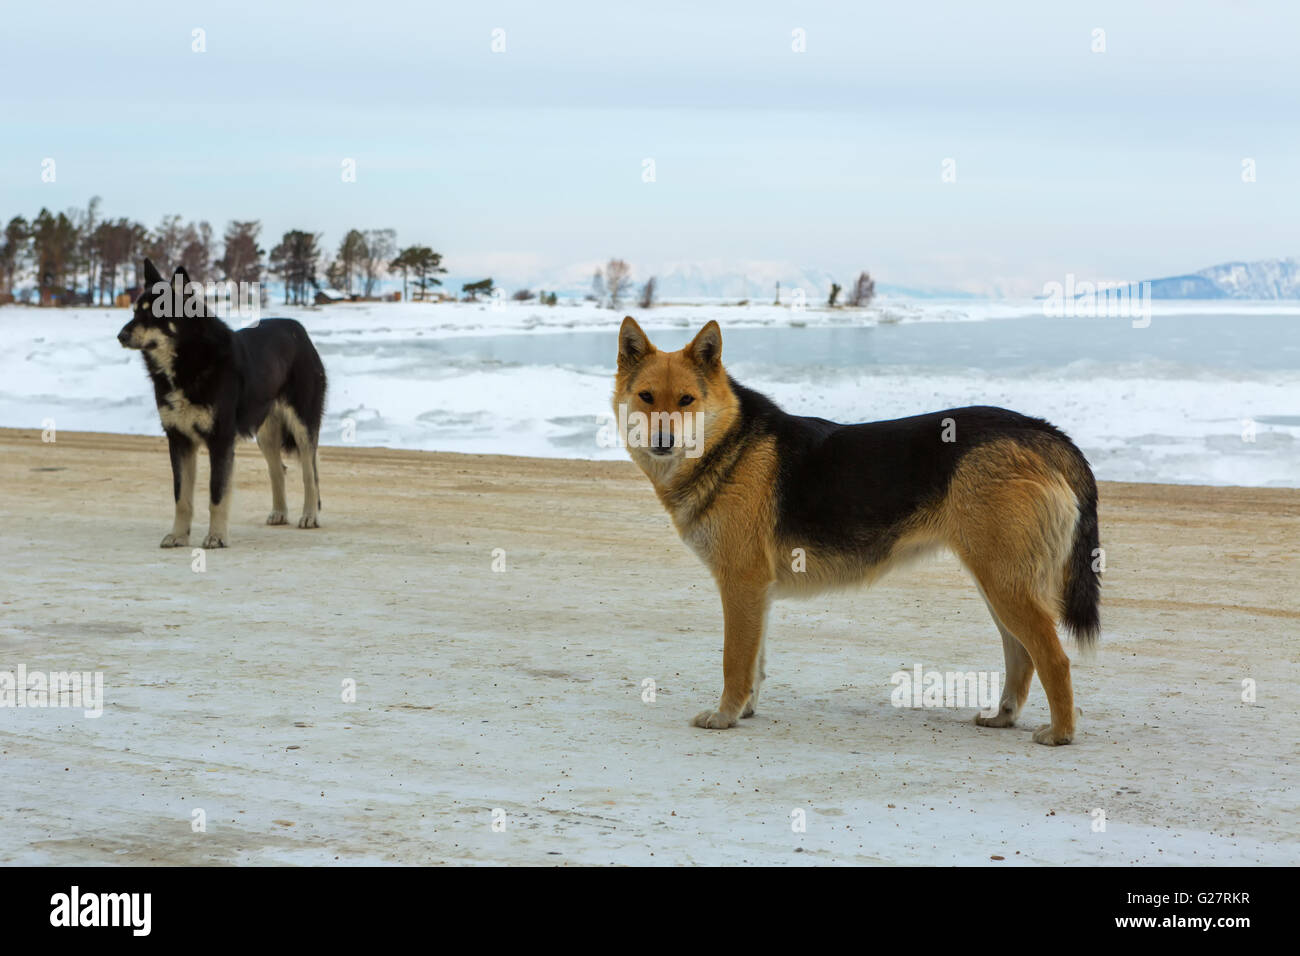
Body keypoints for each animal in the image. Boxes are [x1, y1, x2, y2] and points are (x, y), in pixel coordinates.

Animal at [119, 257, 327, 548]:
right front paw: (178, 535)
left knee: (311, 472)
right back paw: (279, 512)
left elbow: (216, 495)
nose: (121, 336)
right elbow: (181, 498)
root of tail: (298, 329)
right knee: (278, 470)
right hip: (266, 433)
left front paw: (216, 536)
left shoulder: (220, 441)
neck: (188, 359)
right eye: (135, 312)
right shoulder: (180, 440)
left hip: (302, 425)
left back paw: (309, 515)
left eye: (155, 314)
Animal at [613, 319, 1102, 749]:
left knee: (1053, 658)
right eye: (646, 397)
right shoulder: (756, 593)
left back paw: (1060, 733)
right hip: (999, 584)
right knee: (1022, 656)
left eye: (687, 400)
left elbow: (735, 660)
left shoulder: (741, 585)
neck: (728, 445)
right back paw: (1003, 716)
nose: (662, 441)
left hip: (1004, 584)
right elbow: (755, 663)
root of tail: (1040, 431)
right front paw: (746, 710)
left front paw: (725, 716)